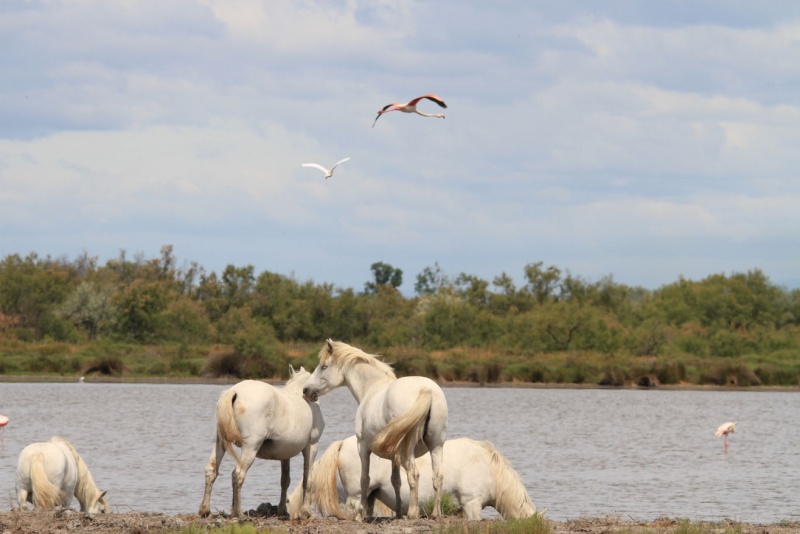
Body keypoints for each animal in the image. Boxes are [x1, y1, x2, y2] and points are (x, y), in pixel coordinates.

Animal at [198, 368, 324, 520]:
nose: (313, 396)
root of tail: (234, 392)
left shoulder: (285, 454)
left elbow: (285, 480)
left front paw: (282, 511)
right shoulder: (312, 446)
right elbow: (307, 479)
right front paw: (306, 512)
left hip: (220, 443)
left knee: (211, 470)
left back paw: (205, 510)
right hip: (251, 446)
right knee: (238, 474)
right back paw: (238, 513)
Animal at [302, 342, 450, 520]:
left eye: (324, 366)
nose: (306, 390)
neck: (372, 387)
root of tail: (426, 390)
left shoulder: (363, 446)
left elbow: (364, 479)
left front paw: (360, 514)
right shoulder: (394, 455)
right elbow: (396, 480)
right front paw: (398, 513)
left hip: (409, 450)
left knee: (414, 474)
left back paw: (412, 513)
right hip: (436, 444)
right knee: (438, 476)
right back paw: (436, 513)